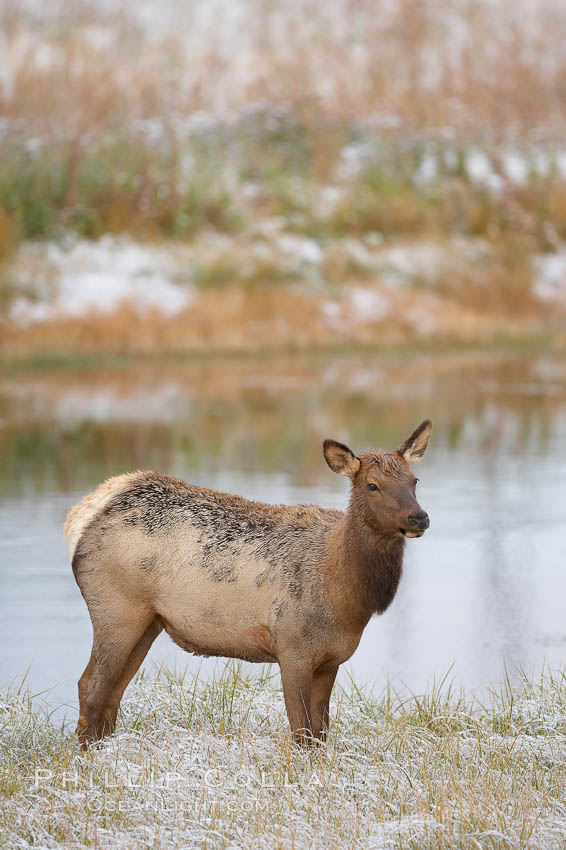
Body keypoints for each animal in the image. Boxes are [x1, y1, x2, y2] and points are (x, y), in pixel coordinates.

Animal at [65, 418, 430, 744]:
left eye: (414, 480)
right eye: (372, 485)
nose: (419, 518)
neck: (347, 594)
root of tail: (83, 514)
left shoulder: (331, 659)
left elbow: (321, 734)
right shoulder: (292, 648)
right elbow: (301, 732)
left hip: (148, 622)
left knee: (113, 693)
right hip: (117, 610)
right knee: (91, 685)